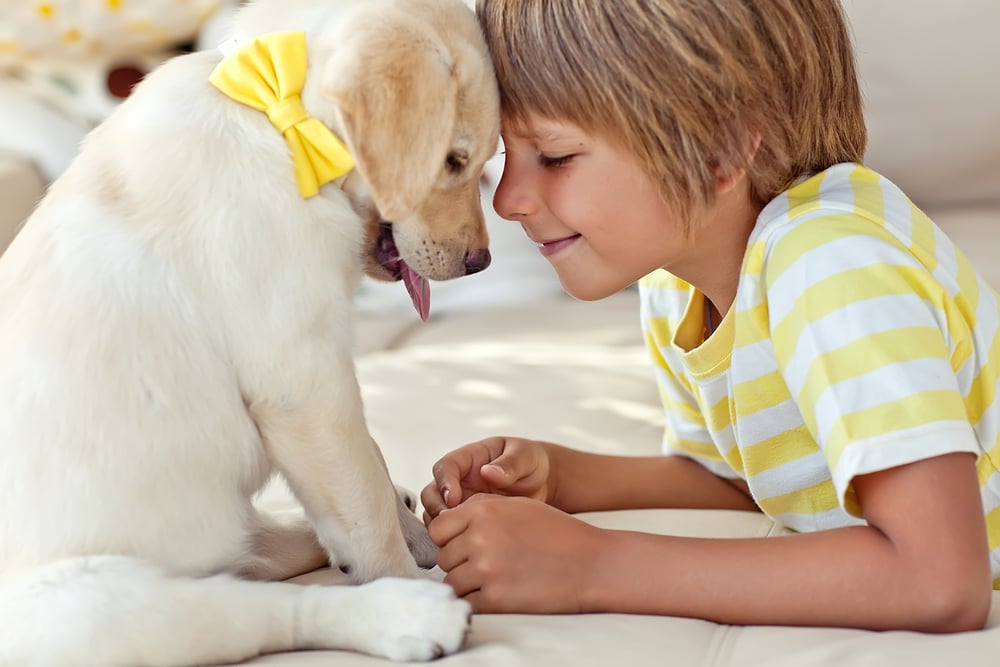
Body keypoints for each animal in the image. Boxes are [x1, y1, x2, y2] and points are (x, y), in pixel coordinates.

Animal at [0, 0, 500, 664]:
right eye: (453, 161)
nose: (481, 264)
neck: (273, 114)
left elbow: (366, 459)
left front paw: (412, 530)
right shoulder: (304, 382)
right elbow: (362, 498)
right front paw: (401, 565)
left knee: (259, 560)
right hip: (88, 608)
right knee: (268, 610)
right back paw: (408, 611)